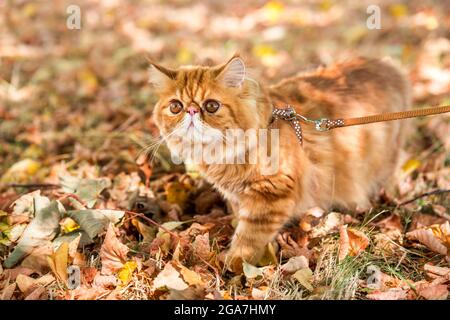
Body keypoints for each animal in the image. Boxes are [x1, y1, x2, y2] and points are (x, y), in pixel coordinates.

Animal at [149, 54, 410, 270]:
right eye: (176, 107)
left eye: (211, 106)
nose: (192, 112)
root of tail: (386, 65)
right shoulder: (238, 196)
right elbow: (241, 221)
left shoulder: (272, 192)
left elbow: (248, 237)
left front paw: (234, 263)